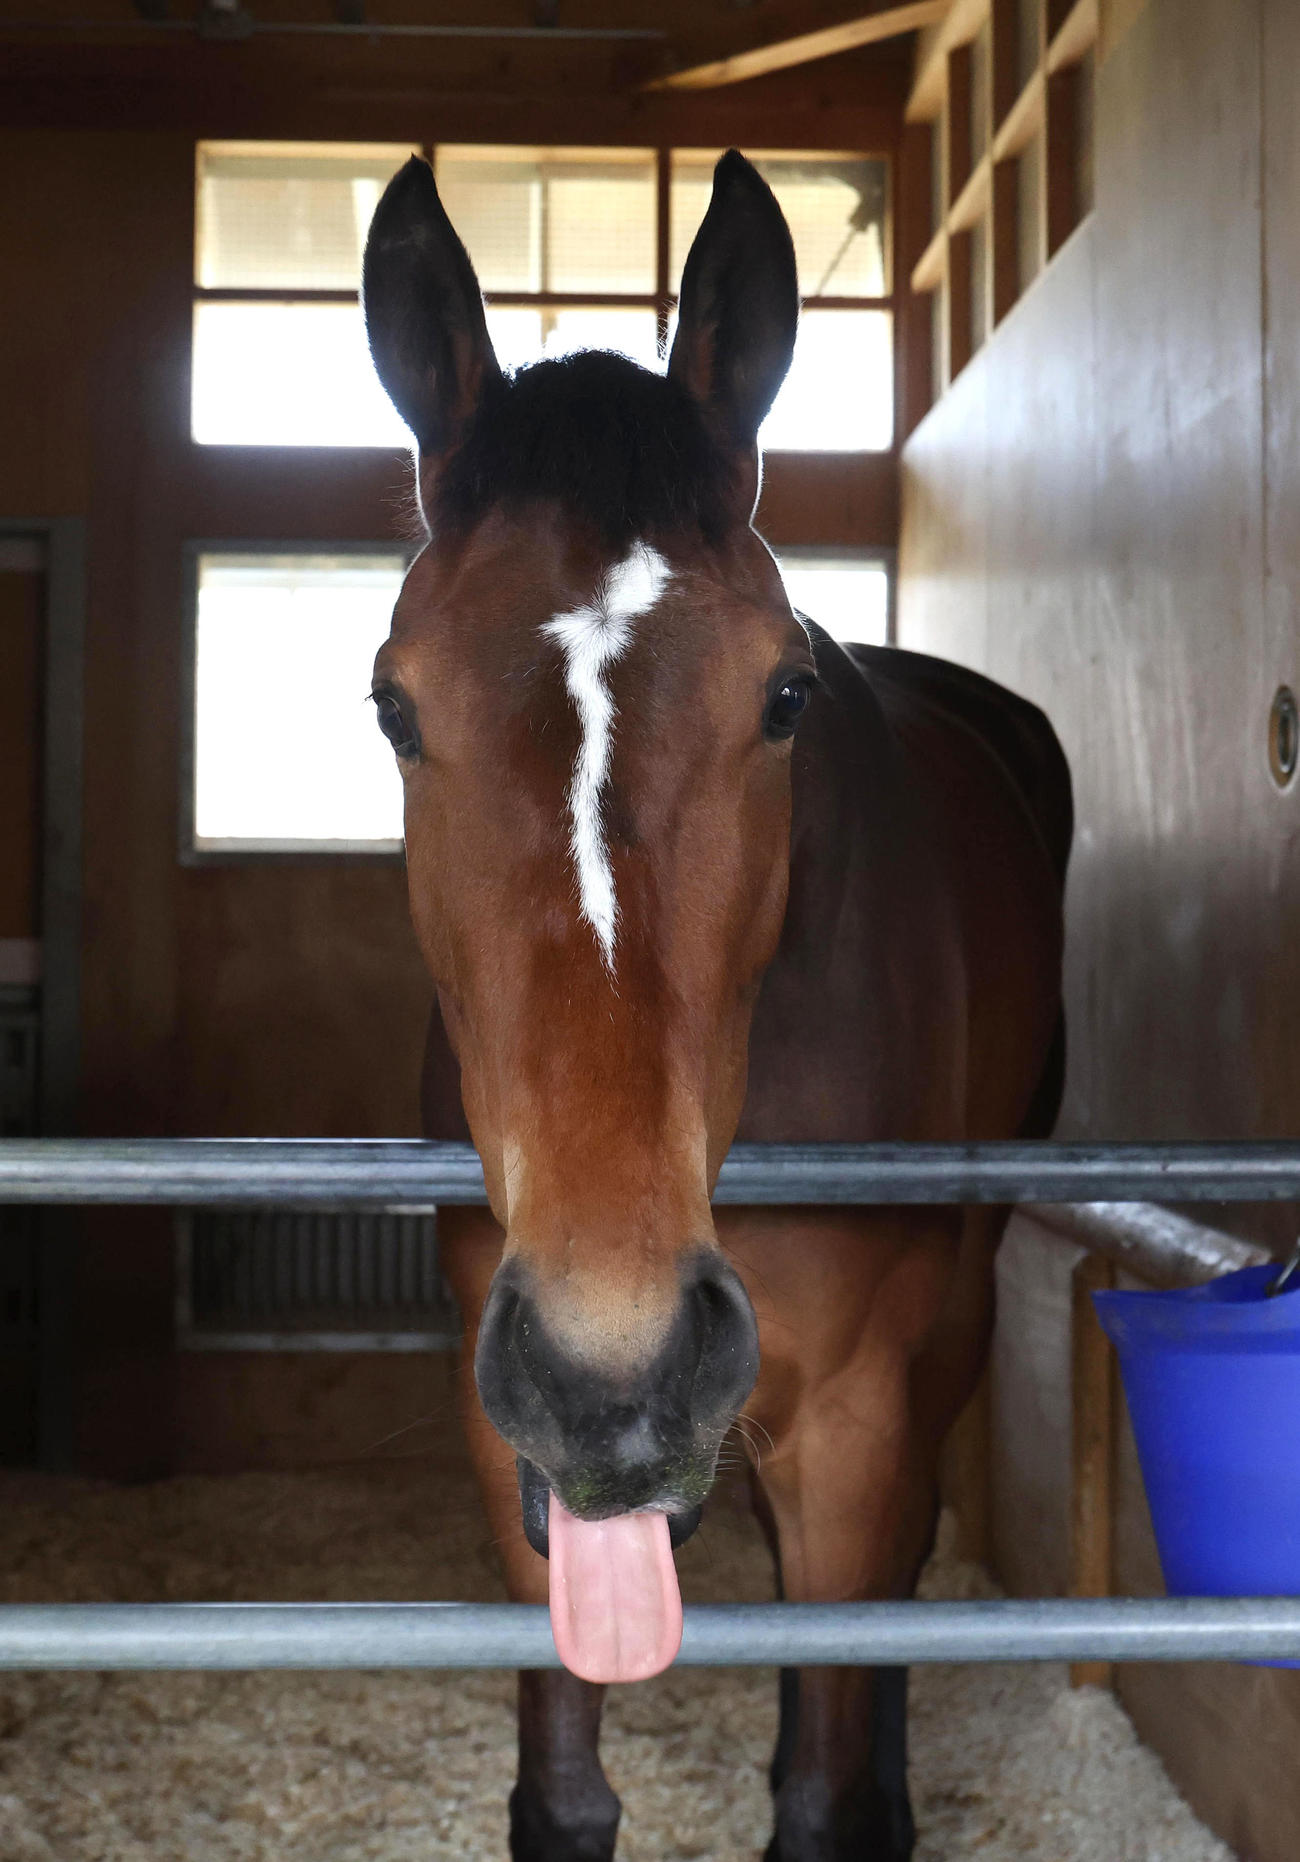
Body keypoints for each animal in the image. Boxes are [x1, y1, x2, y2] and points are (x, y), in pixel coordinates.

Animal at [361, 149, 1071, 1862]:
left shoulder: (855, 1411)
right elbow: (562, 1794)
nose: (616, 1362)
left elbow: (822, 1788)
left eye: (784, 695)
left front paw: (844, 1784)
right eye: (395, 705)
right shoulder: (517, 1435)